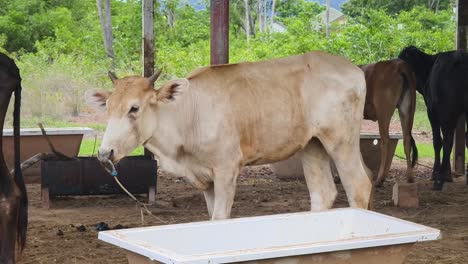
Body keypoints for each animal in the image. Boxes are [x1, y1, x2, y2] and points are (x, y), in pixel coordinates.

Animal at [88, 51, 372, 221]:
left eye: (134, 108)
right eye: (108, 107)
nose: (104, 153)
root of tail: (353, 68)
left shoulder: (226, 168)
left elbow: (220, 218)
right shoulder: (206, 179)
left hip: (341, 140)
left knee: (359, 185)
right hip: (312, 144)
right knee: (322, 193)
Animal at [360, 58, 418, 186]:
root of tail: (397, 63)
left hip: (383, 112)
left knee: (385, 141)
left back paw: (379, 179)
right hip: (406, 111)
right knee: (406, 140)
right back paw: (410, 177)